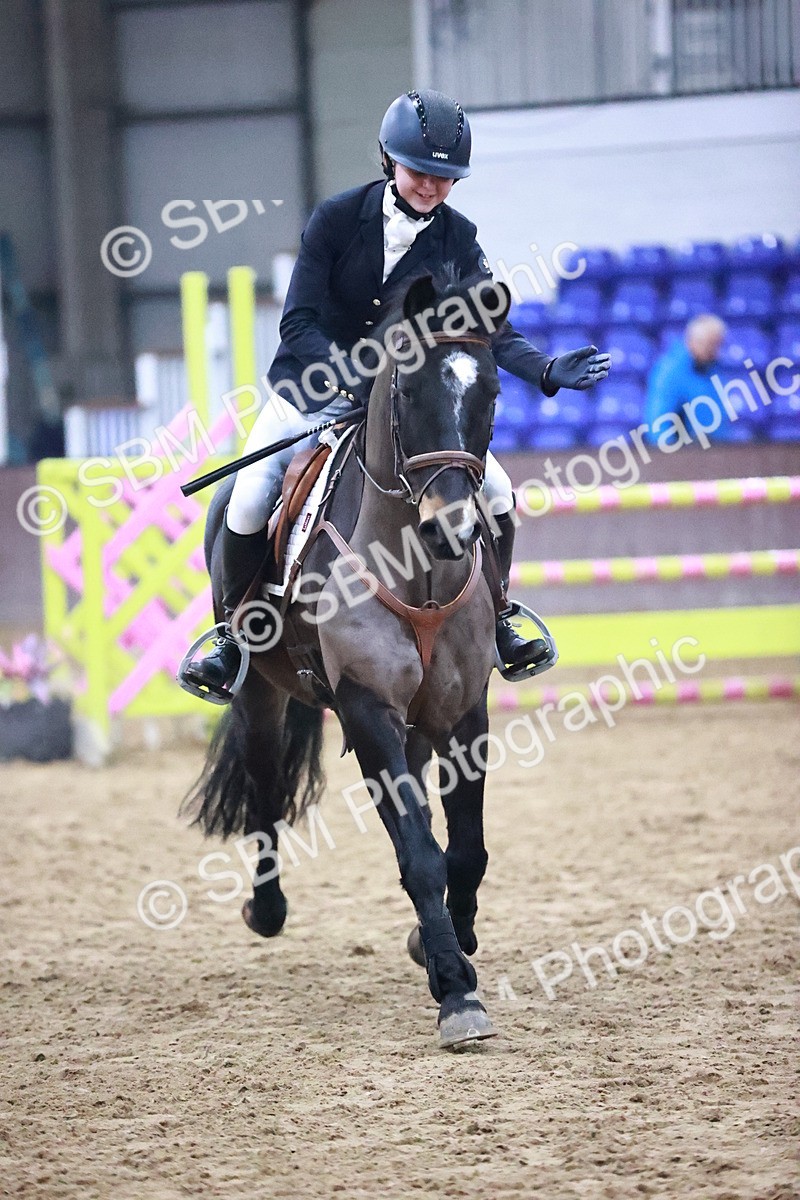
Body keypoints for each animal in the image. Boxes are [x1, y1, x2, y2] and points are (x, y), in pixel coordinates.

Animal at [183, 270, 513, 1048]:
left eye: (490, 391)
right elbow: (420, 854)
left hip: (418, 725)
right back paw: (266, 909)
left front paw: (448, 947)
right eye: (411, 392)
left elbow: (466, 848)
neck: (418, 568)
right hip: (263, 696)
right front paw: (456, 991)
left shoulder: (465, 713)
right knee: (266, 790)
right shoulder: (367, 710)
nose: (452, 528)